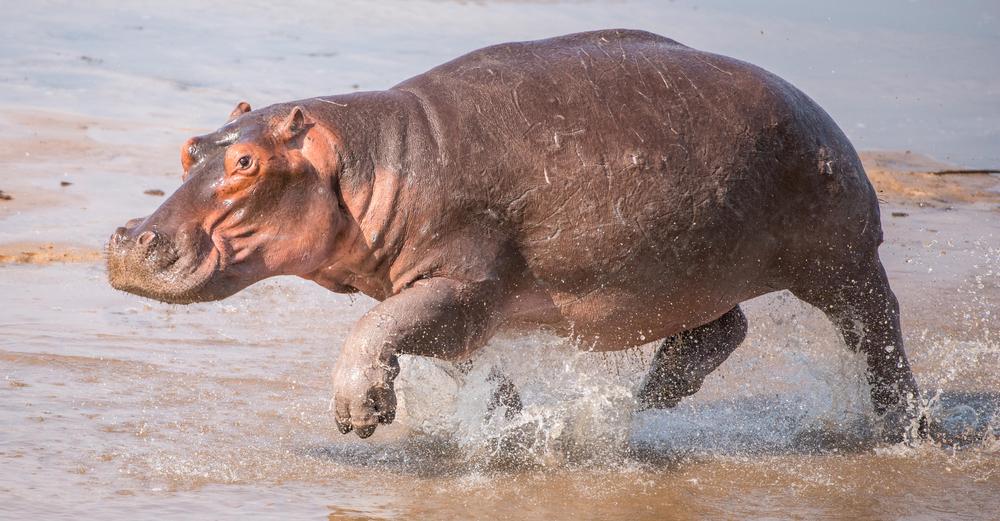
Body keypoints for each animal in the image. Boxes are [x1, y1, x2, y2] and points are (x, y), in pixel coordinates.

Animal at [108, 29, 921, 441]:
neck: (372, 157)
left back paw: (901, 427)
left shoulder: (466, 281)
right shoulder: (442, 295)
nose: (127, 238)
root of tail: (821, 114)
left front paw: (358, 415)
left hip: (841, 256)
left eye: (246, 163)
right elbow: (439, 349)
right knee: (722, 329)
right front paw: (510, 422)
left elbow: (376, 329)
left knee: (876, 329)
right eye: (190, 147)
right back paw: (647, 400)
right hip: (691, 271)